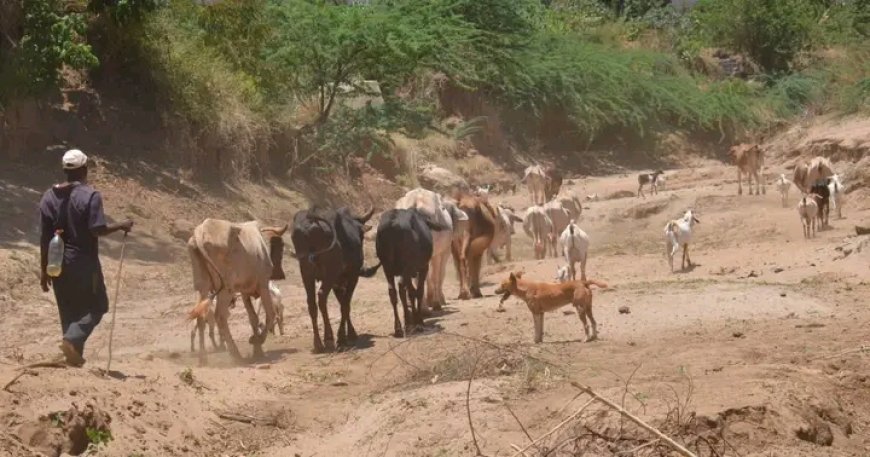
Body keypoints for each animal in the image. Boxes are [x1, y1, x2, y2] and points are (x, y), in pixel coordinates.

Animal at [188, 219, 290, 366]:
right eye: (281, 245)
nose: (280, 274)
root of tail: (201, 232)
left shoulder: (244, 292)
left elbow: (253, 318)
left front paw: (258, 350)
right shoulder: (263, 285)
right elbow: (270, 315)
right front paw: (257, 340)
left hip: (202, 287)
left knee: (201, 318)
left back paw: (203, 359)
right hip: (226, 289)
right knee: (220, 317)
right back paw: (236, 355)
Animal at [292, 207, 380, 352]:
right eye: (361, 236)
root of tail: (311, 220)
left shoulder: (337, 283)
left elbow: (342, 303)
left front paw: (350, 333)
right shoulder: (352, 277)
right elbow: (345, 305)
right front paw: (343, 337)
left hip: (306, 273)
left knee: (311, 303)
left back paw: (318, 343)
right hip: (329, 273)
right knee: (322, 297)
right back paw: (329, 339)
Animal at [374, 208, 446, 336]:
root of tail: (392, 222)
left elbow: (408, 292)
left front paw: (412, 319)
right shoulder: (423, 268)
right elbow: (418, 291)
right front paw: (418, 321)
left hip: (387, 268)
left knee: (393, 292)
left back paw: (398, 327)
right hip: (406, 268)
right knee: (405, 289)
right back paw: (410, 324)